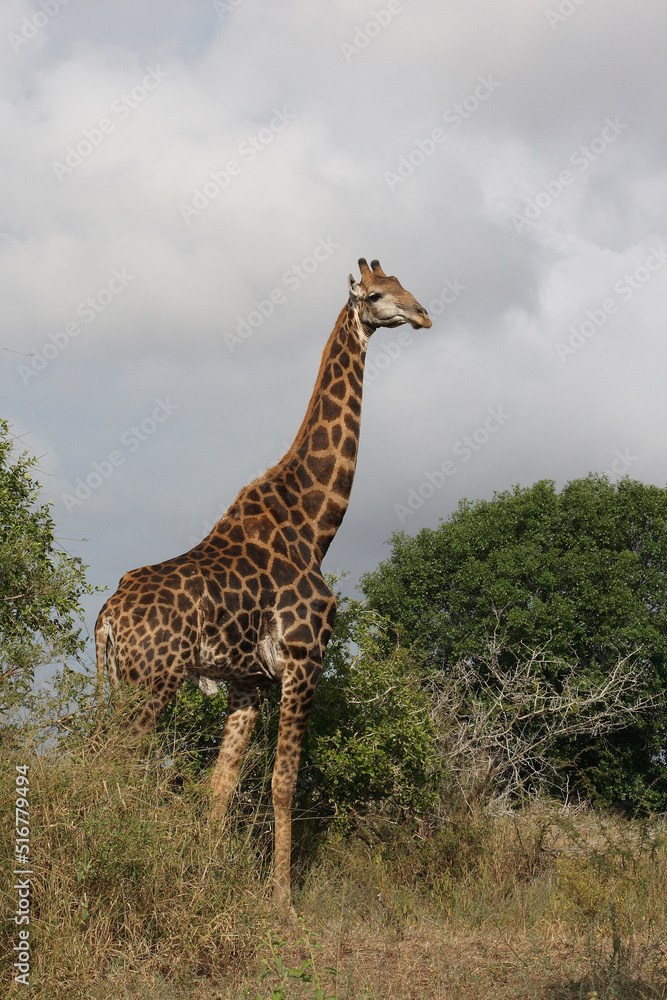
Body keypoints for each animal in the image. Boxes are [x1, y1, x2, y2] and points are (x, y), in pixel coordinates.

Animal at [95, 258, 432, 902]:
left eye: (407, 285)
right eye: (379, 295)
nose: (425, 314)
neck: (315, 525)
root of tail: (104, 620)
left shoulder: (246, 681)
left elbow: (221, 785)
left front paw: (203, 880)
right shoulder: (304, 660)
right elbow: (283, 781)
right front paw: (283, 901)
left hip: (121, 680)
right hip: (153, 681)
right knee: (110, 757)